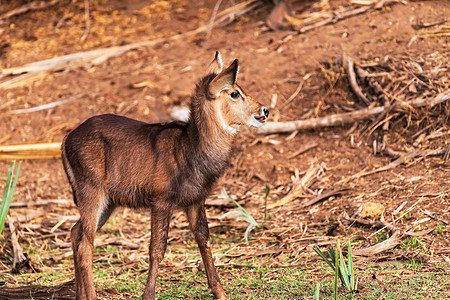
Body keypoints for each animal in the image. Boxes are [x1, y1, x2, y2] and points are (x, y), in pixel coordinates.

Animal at [61, 52, 268, 298]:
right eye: (235, 92)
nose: (265, 110)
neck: (190, 148)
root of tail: (65, 140)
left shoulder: (196, 200)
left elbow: (204, 240)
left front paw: (221, 293)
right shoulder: (161, 199)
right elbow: (157, 249)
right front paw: (148, 294)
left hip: (108, 201)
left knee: (76, 233)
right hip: (92, 191)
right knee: (86, 245)